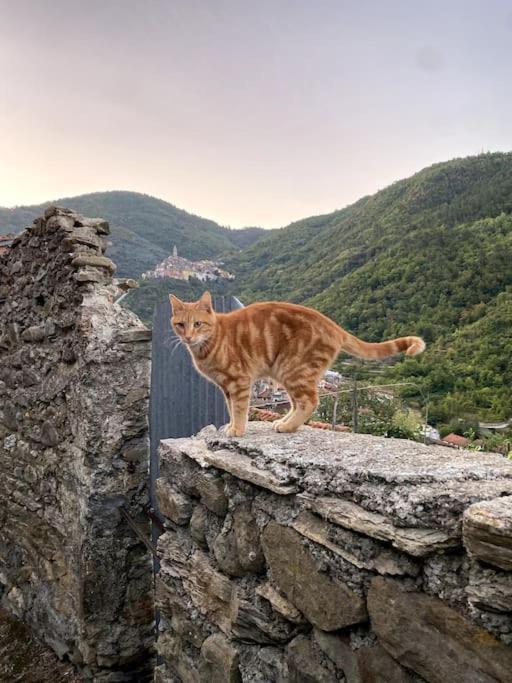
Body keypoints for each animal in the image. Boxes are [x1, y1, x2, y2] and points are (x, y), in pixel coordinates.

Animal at [170, 292, 426, 436]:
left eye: (198, 324)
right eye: (181, 325)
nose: (188, 337)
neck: (208, 343)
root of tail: (334, 326)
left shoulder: (239, 381)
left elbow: (240, 409)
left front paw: (237, 430)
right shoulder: (226, 387)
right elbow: (231, 409)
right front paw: (231, 426)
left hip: (293, 370)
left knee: (310, 401)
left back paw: (287, 426)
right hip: (287, 374)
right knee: (297, 403)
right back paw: (284, 422)